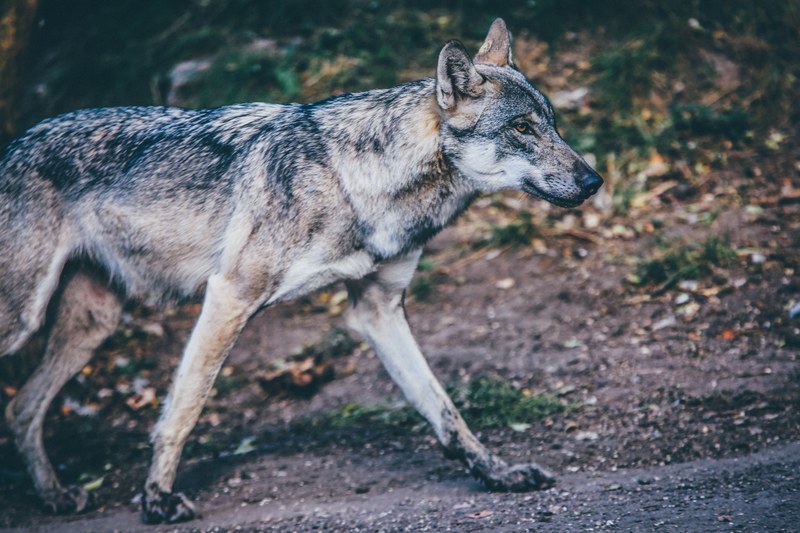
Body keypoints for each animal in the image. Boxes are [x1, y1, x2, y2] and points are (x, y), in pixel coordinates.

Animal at [0, 19, 602, 523]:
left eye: (552, 125)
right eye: (522, 128)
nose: (594, 181)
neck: (355, 181)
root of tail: (13, 144)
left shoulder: (379, 310)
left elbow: (446, 412)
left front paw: (498, 474)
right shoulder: (229, 296)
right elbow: (184, 409)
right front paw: (158, 499)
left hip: (92, 325)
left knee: (22, 407)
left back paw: (54, 496)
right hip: (25, 320)